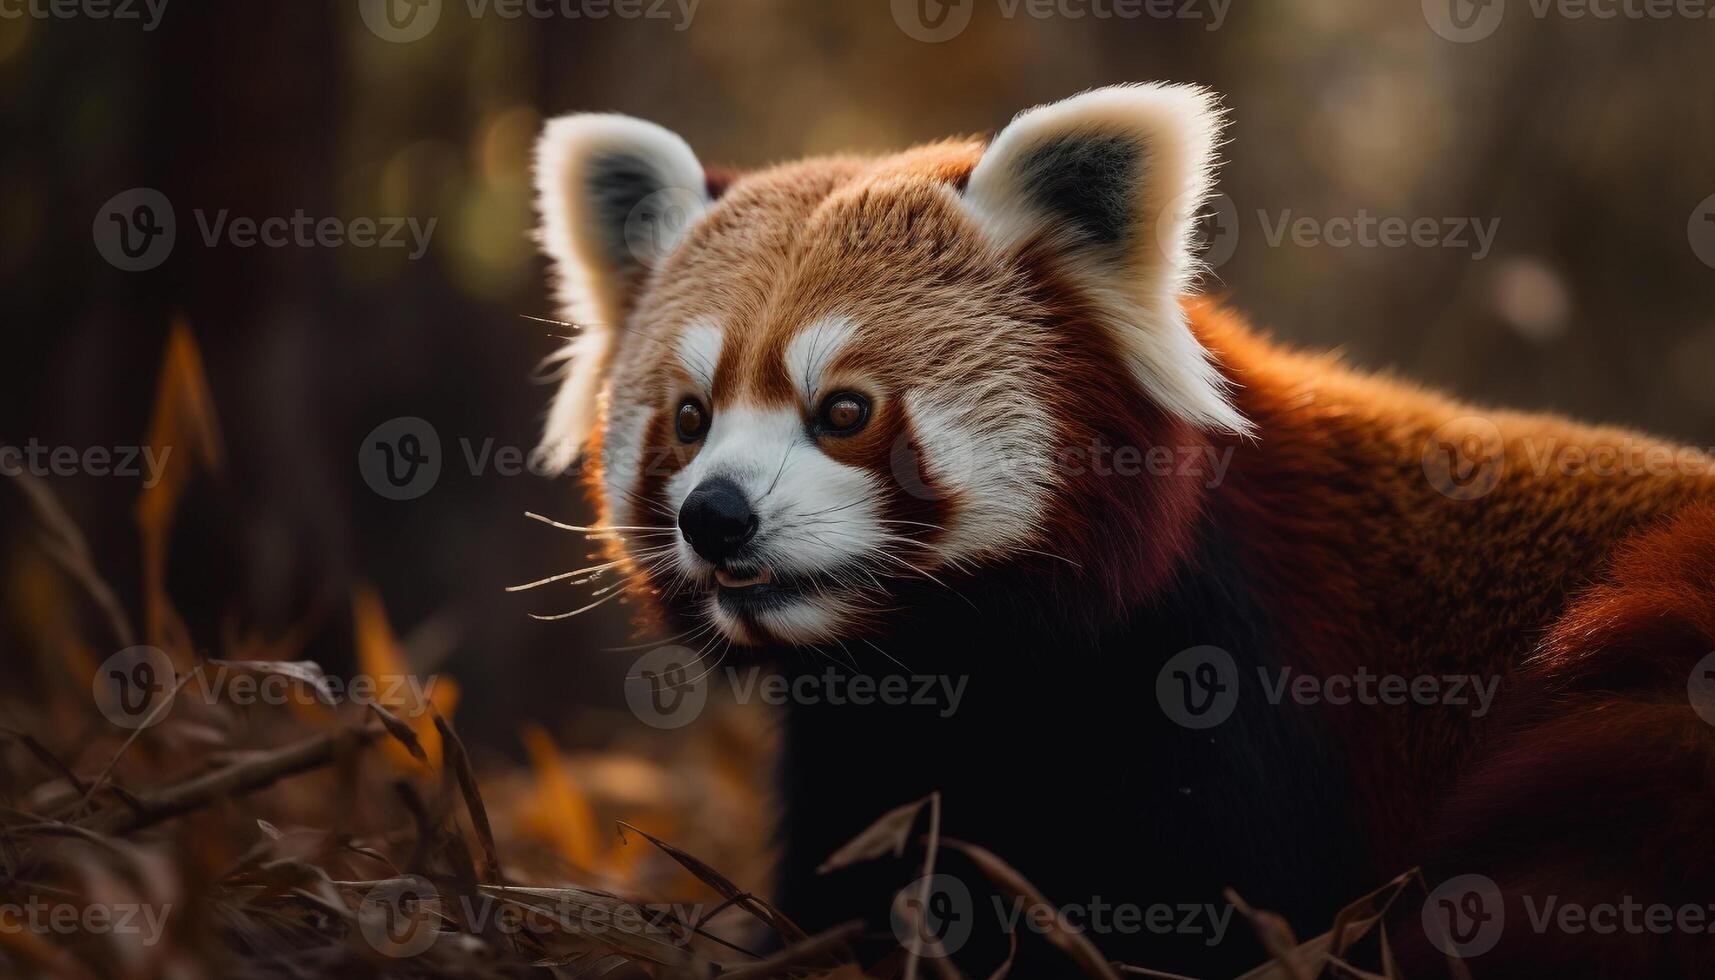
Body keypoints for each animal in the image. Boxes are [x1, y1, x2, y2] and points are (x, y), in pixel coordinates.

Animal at [528, 86, 1715, 980]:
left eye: (844, 410)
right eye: (690, 417)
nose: (714, 514)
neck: (952, 660)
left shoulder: (1229, 688)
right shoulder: (862, 753)